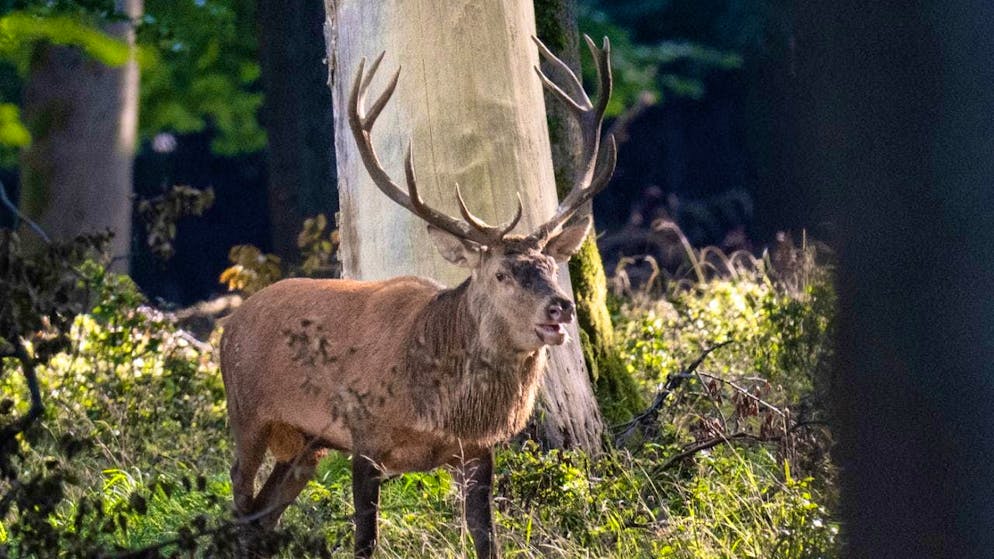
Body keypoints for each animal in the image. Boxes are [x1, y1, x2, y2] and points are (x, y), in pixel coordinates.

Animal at [219, 34, 616, 559]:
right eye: (501, 275)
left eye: (552, 268)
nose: (561, 306)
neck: (439, 407)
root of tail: (229, 325)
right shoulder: (363, 437)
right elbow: (365, 541)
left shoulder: (477, 450)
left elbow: (486, 540)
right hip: (246, 413)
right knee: (240, 495)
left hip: (306, 442)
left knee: (264, 514)